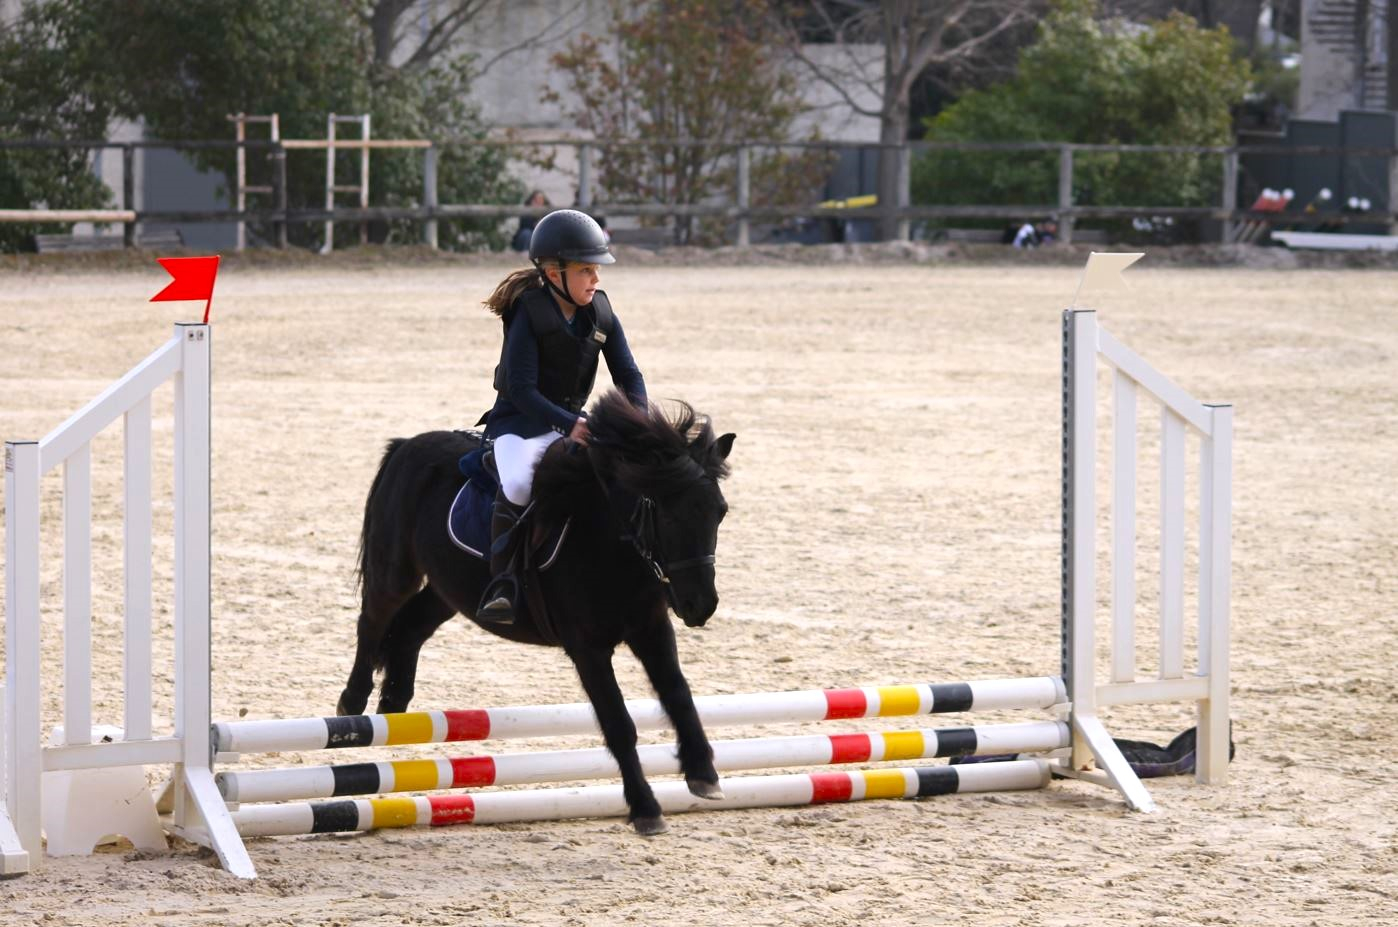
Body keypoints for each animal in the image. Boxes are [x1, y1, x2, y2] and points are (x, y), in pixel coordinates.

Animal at [336, 388, 738, 838]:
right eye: (666, 513)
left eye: (720, 511)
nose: (701, 606)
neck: (611, 545)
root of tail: (406, 444)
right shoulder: (588, 648)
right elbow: (618, 724)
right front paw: (646, 808)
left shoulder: (651, 628)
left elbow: (679, 695)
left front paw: (704, 774)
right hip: (396, 570)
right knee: (373, 620)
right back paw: (351, 708)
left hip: (447, 589)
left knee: (410, 629)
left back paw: (394, 706)